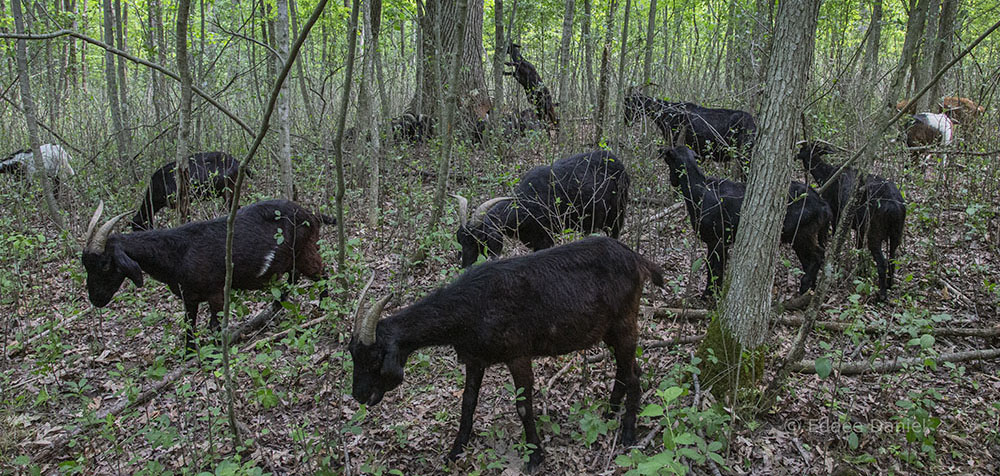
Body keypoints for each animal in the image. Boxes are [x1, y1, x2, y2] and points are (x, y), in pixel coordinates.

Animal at [82, 197, 332, 350]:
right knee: (292, 280)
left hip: (305, 252)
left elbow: (214, 325)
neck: (177, 253)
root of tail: (312, 215)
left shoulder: (216, 293)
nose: (96, 299)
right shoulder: (189, 297)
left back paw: (322, 307)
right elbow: (189, 326)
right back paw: (273, 310)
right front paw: (190, 353)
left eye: (105, 265)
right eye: (85, 265)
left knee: (322, 275)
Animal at [456, 150, 632, 268]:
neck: (525, 206)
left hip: (616, 215)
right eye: (460, 240)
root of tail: (620, 164)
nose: (465, 266)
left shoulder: (546, 238)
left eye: (479, 239)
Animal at [664, 147, 828, 300]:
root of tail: (822, 203)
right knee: (809, 260)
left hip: (801, 234)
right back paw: (810, 289)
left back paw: (805, 286)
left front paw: (710, 295)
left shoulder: (718, 241)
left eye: (669, 162)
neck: (698, 191)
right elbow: (714, 267)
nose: (672, 181)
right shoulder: (717, 242)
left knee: (818, 255)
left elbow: (715, 269)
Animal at [796, 139, 908, 302]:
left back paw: (882, 294)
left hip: (875, 231)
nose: (796, 154)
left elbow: (835, 244)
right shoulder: (859, 226)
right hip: (896, 233)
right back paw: (890, 285)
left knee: (882, 261)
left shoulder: (836, 215)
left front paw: (835, 271)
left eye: (806, 148)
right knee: (893, 258)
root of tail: (897, 207)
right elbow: (859, 247)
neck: (826, 175)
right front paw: (861, 272)